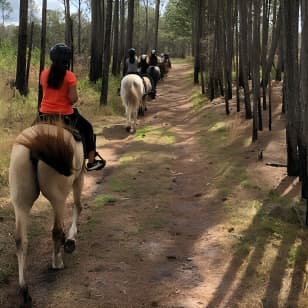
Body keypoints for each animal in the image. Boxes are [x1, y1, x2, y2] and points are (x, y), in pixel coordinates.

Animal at [9, 122, 84, 306]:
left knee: (20, 239)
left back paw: (24, 290)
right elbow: (78, 206)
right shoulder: (79, 176)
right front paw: (70, 240)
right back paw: (57, 262)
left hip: (20, 200)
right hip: (58, 196)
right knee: (56, 230)